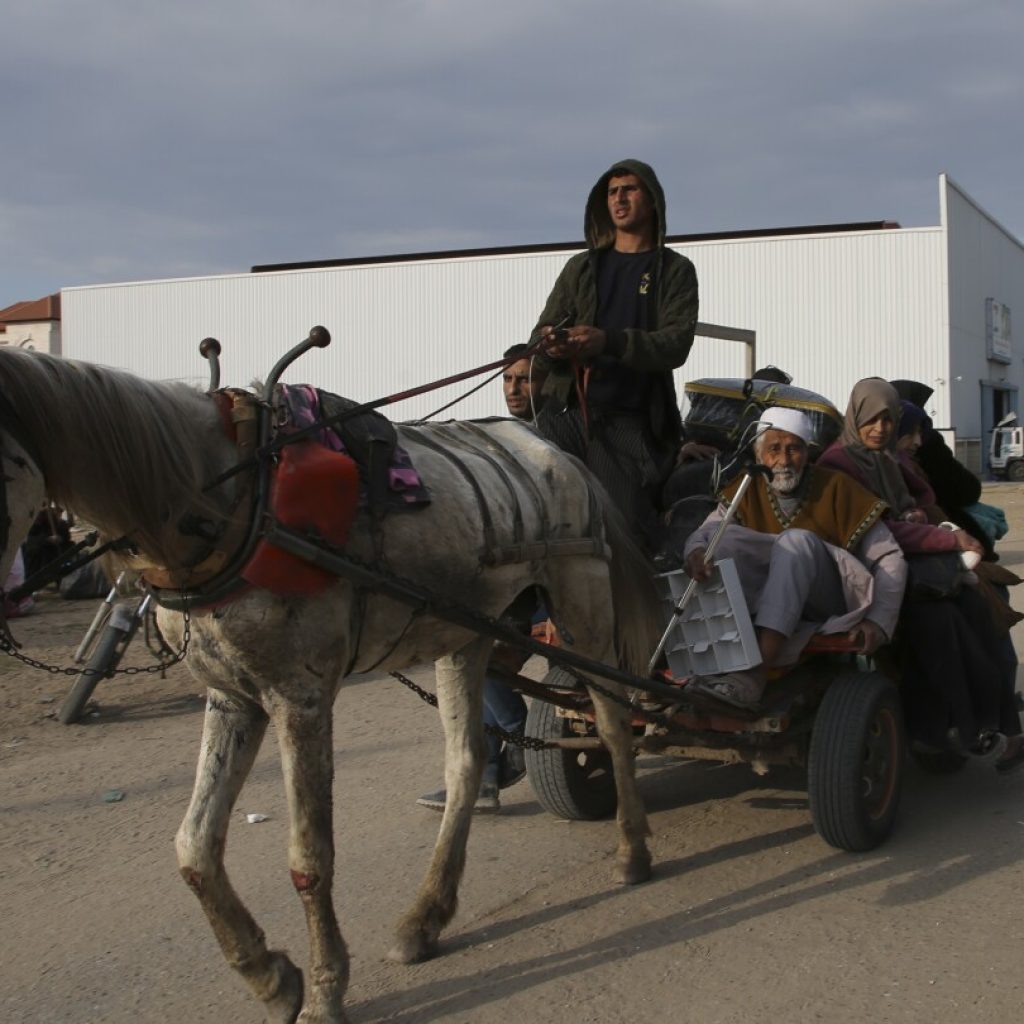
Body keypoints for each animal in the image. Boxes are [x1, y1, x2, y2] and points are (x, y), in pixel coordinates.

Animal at [0, 346, 663, 1024]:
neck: (235, 502)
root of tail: (554, 451)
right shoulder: (232, 698)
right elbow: (194, 848)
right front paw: (270, 977)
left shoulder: (301, 698)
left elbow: (309, 860)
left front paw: (323, 991)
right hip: (466, 630)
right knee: (466, 760)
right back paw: (425, 917)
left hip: (581, 599)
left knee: (613, 722)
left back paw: (631, 850)